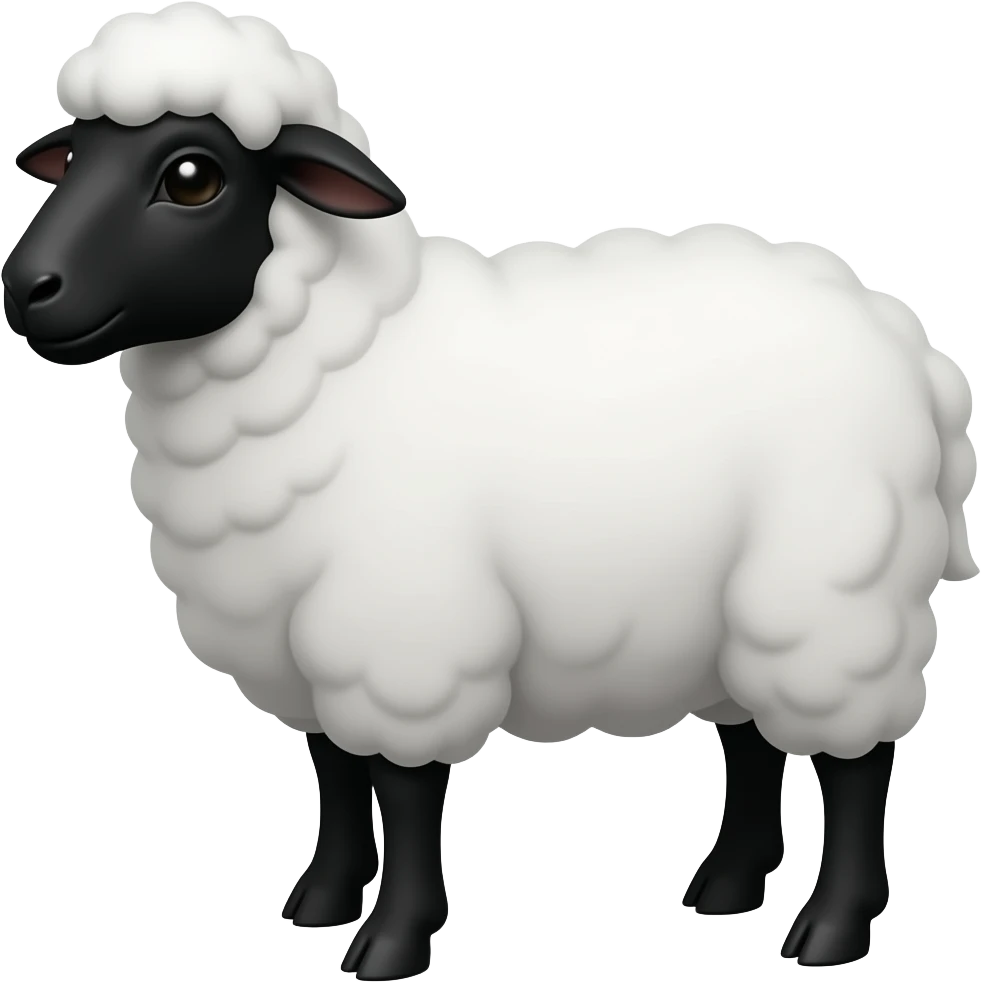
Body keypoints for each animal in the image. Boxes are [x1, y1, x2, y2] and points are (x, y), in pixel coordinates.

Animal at [1, 3, 976, 978]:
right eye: (74, 155)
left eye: (192, 177)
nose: (25, 288)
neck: (336, 361)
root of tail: (899, 330)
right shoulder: (304, 638)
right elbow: (335, 769)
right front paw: (319, 900)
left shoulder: (402, 636)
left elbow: (401, 788)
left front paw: (392, 937)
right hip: (733, 614)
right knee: (753, 741)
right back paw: (728, 885)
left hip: (834, 596)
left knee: (856, 761)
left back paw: (833, 926)